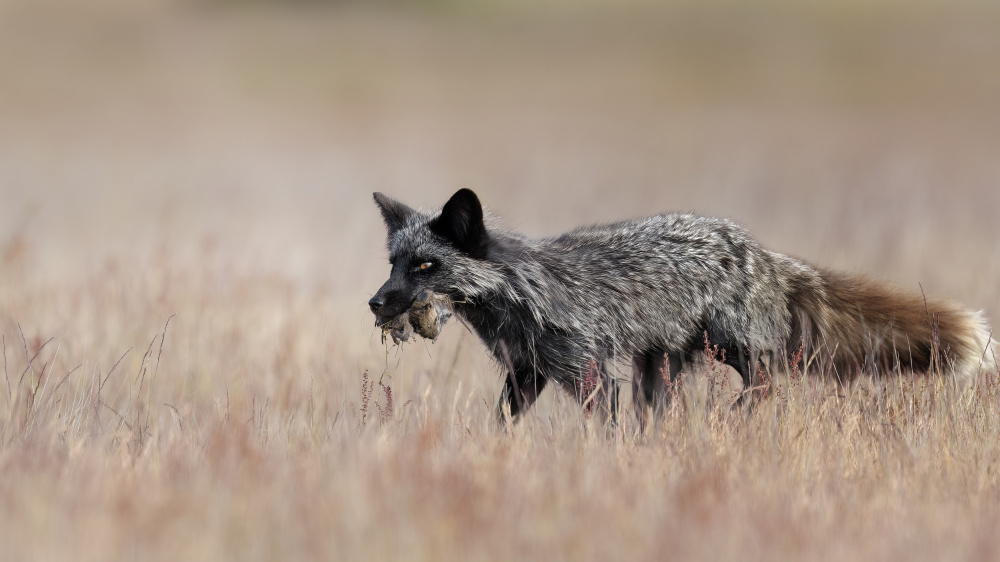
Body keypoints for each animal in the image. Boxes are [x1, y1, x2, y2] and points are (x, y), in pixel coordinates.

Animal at [372, 187, 996, 420]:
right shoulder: (529, 371)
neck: (524, 293)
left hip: (729, 347)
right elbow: (502, 425)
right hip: (662, 368)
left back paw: (733, 420)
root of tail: (757, 248)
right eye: (395, 263)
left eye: (426, 266)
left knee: (767, 387)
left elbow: (605, 425)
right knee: (666, 409)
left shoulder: (586, 367)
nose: (377, 305)